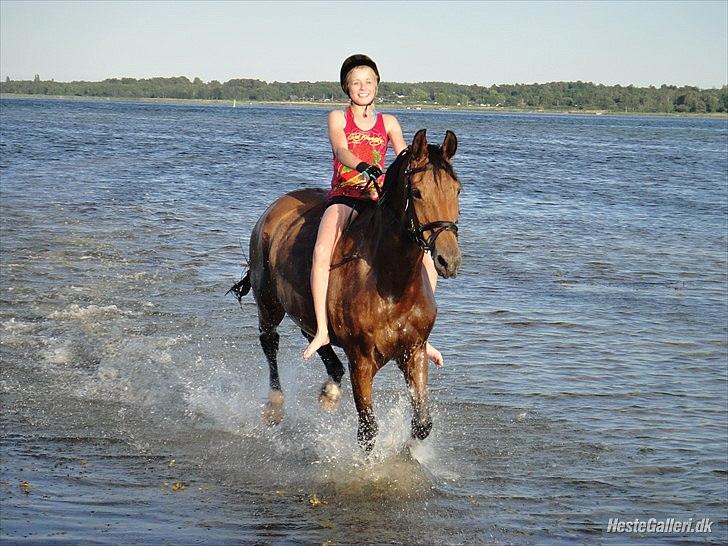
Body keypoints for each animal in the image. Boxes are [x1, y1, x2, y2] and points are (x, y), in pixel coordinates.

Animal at [230, 129, 464, 450]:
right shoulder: (361, 361)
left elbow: (421, 424)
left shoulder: (413, 352)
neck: (392, 284)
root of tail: (274, 209)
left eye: (457, 190)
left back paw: (330, 386)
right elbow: (368, 430)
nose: (448, 260)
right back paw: (275, 406)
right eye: (416, 192)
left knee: (313, 333)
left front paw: (408, 453)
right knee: (270, 341)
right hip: (268, 302)